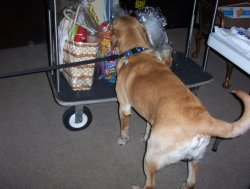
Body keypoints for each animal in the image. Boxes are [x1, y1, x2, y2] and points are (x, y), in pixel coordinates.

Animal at [111, 15, 250, 189]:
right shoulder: (150, 115)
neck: (136, 51)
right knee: (192, 182)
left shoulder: (124, 107)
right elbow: (148, 125)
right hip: (194, 159)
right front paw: (144, 135)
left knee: (150, 184)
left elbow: (124, 129)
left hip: (151, 156)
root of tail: (205, 121)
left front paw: (122, 140)